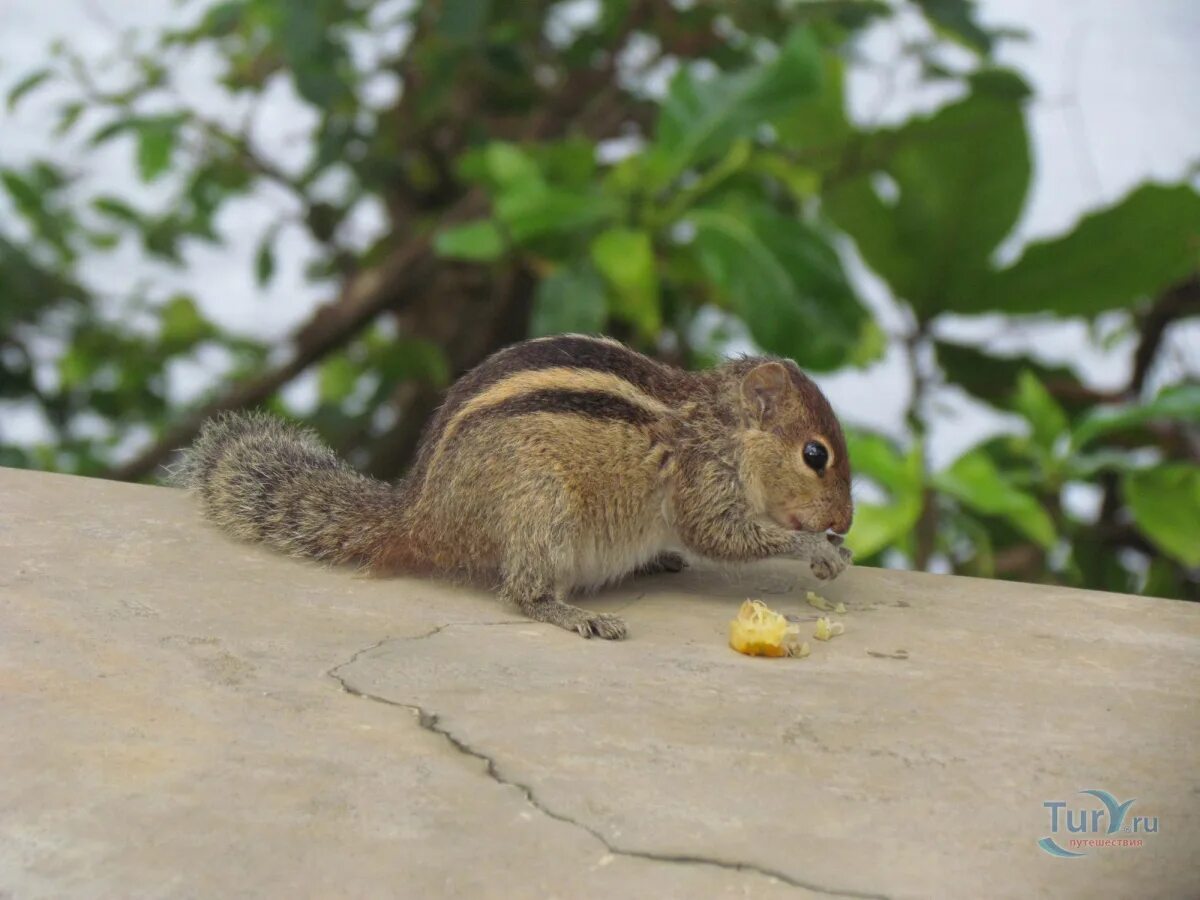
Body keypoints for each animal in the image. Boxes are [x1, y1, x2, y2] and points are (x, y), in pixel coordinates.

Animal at [175, 336, 854, 638]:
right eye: (814, 454)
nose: (846, 521)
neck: (723, 428)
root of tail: (419, 515)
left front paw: (834, 548)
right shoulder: (701, 480)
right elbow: (721, 536)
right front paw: (817, 550)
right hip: (539, 507)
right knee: (519, 593)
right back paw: (573, 613)